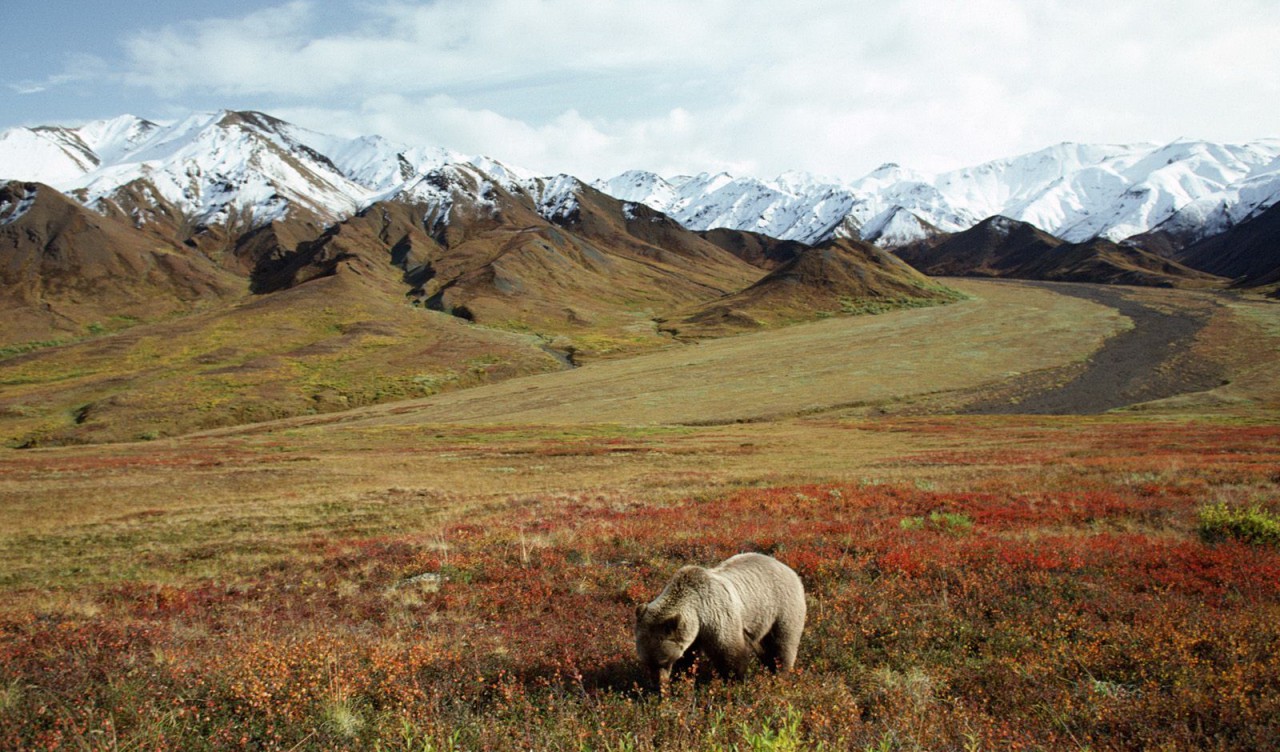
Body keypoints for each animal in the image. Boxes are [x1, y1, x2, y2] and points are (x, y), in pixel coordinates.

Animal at [634, 552, 803, 685]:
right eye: (646, 662)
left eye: (663, 661)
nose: (658, 684)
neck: (698, 614)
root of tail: (788, 568)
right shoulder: (692, 634)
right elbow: (688, 658)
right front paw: (681, 679)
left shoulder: (717, 616)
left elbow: (729, 654)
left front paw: (735, 681)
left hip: (782, 608)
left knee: (783, 644)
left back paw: (780, 674)